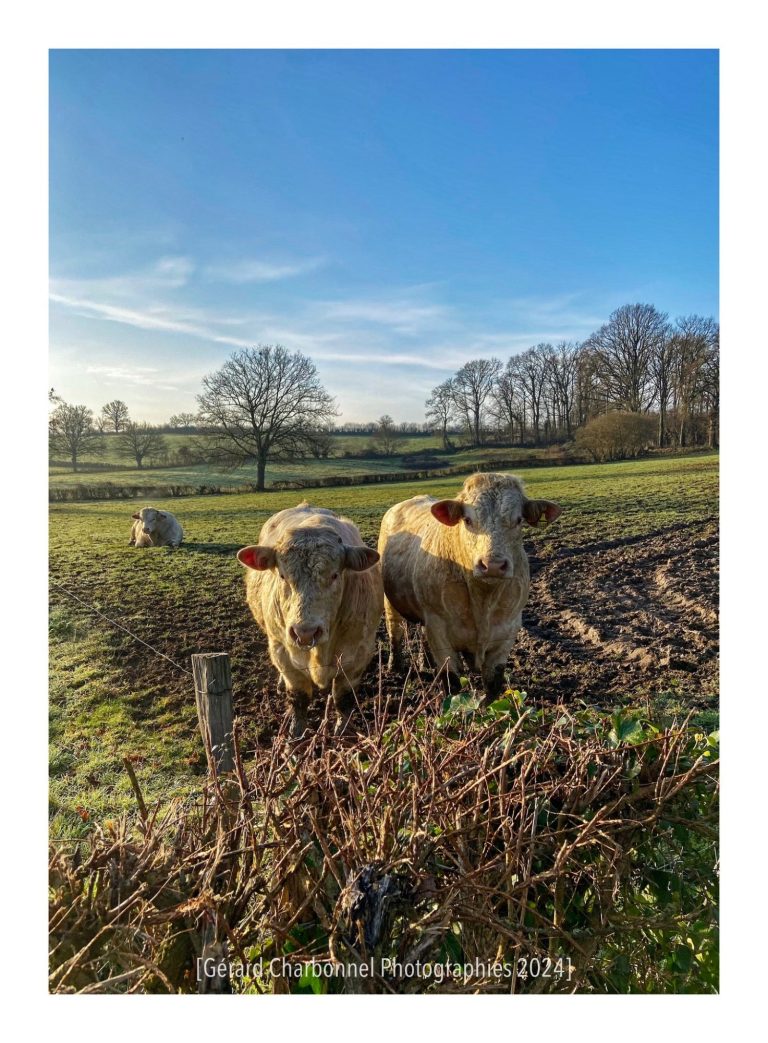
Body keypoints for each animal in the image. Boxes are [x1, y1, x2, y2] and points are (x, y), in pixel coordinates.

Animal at [236, 502, 384, 734]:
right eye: (282, 576)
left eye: (335, 575)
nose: (305, 632)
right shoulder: (282, 651)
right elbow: (299, 697)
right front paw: (297, 732)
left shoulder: (359, 653)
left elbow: (343, 698)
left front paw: (343, 730)